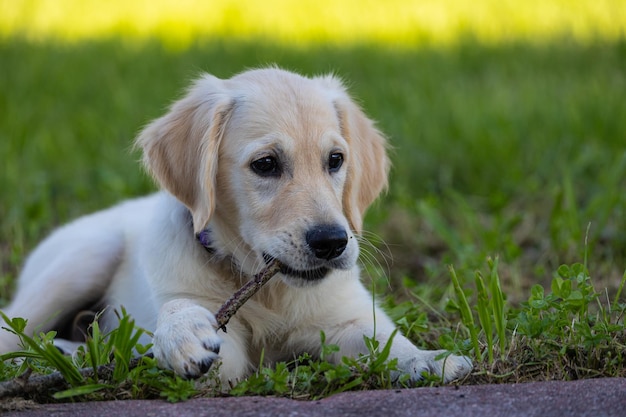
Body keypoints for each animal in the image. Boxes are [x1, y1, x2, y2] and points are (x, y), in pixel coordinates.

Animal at [0, 66, 468, 382]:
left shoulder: (345, 318)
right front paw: (180, 332)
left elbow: (386, 341)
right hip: (84, 257)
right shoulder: (226, 355)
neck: (268, 288)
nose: (333, 242)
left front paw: (429, 359)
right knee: (13, 331)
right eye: (266, 164)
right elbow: (182, 311)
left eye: (336, 160)